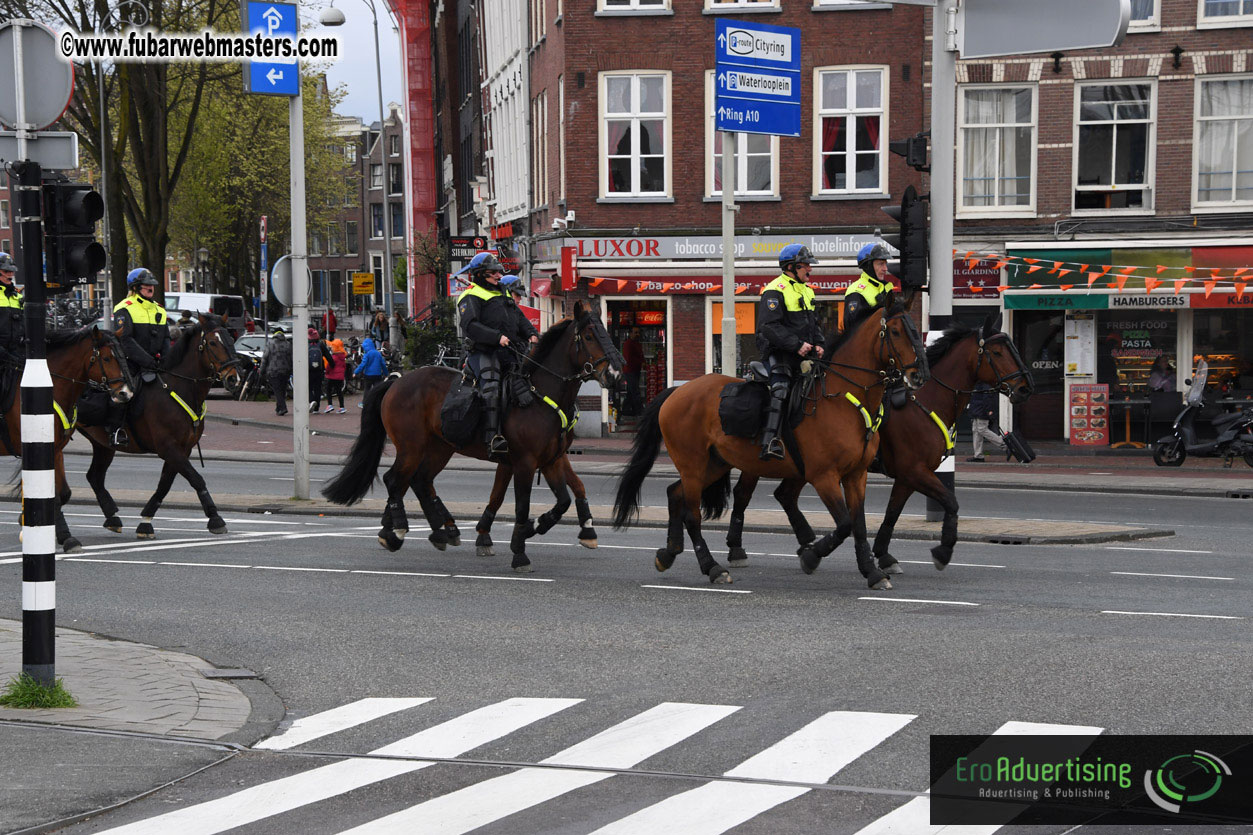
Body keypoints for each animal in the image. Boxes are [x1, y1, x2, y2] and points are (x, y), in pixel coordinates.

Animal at [5, 325, 134, 551]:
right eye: (107, 358)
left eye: (124, 357)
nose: (125, 393)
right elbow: (54, 495)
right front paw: (66, 537)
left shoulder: (55, 448)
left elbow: (62, 493)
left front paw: (53, 530)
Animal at [80, 315, 244, 536]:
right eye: (212, 342)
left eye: (230, 339)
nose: (235, 377)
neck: (176, 389)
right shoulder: (168, 447)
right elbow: (196, 478)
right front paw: (215, 518)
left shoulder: (182, 449)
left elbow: (165, 485)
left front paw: (146, 521)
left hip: (103, 445)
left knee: (95, 477)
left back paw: (112, 517)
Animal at [318, 300, 621, 571]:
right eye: (590, 336)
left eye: (606, 332)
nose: (616, 372)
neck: (538, 395)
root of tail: (395, 381)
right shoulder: (524, 462)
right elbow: (521, 505)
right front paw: (520, 550)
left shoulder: (551, 459)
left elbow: (566, 496)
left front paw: (553, 527)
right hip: (411, 447)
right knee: (396, 480)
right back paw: (400, 531)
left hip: (440, 448)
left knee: (419, 481)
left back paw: (440, 532)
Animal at [721, 308, 1032, 576]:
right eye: (997, 351)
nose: (1025, 388)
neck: (924, 399)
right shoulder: (914, 471)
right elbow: (950, 501)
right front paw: (942, 551)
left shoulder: (907, 476)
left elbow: (892, 514)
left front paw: (883, 555)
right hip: (762, 464)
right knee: (743, 495)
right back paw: (738, 550)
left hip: (801, 467)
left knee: (784, 495)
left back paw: (806, 545)